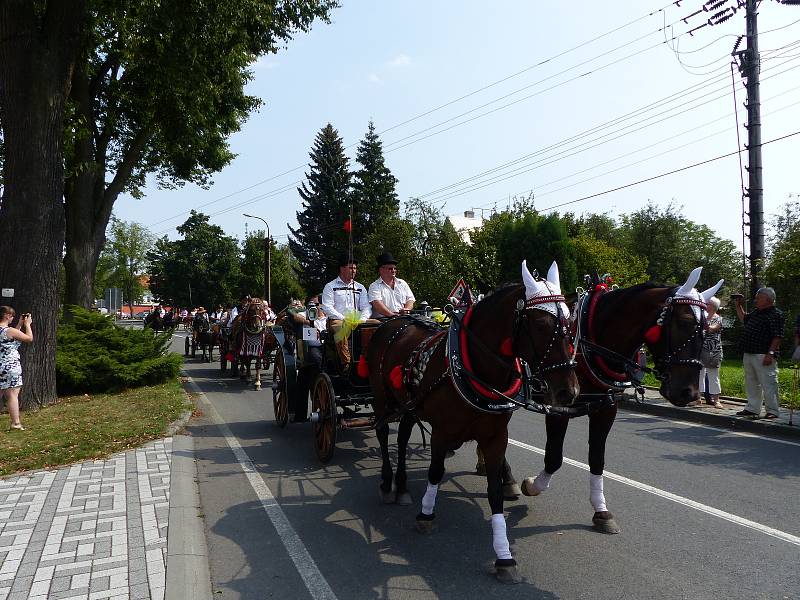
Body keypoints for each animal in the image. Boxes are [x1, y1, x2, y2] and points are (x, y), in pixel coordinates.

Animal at [366, 262, 580, 580]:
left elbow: (495, 492)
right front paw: (425, 514)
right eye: (541, 325)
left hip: (409, 404)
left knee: (402, 437)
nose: (569, 391)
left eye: (569, 321)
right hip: (382, 400)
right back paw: (386, 482)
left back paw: (402, 486)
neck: (474, 368)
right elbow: (435, 472)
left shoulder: (495, 436)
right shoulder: (442, 431)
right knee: (383, 434)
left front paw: (504, 556)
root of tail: (396, 321)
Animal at [496, 268, 720, 536]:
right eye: (685, 322)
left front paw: (601, 511)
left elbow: (597, 458)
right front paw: (533, 485)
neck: (590, 343)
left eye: (707, 328)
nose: (689, 393)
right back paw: (506, 480)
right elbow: (554, 456)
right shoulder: (559, 406)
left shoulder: (605, 408)